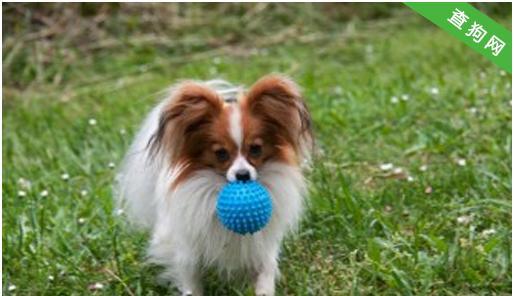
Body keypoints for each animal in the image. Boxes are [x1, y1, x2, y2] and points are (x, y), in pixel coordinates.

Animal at [114, 74, 310, 296]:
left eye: (255, 149)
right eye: (221, 153)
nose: (243, 175)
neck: (215, 190)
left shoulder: (261, 244)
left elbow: (266, 271)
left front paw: (264, 290)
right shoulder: (186, 249)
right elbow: (190, 278)